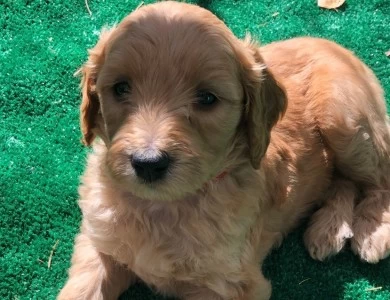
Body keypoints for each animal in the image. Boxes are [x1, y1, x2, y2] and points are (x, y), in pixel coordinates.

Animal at [58, 1, 390, 298]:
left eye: (207, 98)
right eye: (121, 88)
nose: (148, 163)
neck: (163, 207)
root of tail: (333, 44)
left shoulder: (231, 285)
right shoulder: (98, 244)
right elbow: (82, 288)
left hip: (344, 117)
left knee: (378, 179)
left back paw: (372, 232)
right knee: (344, 180)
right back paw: (329, 230)